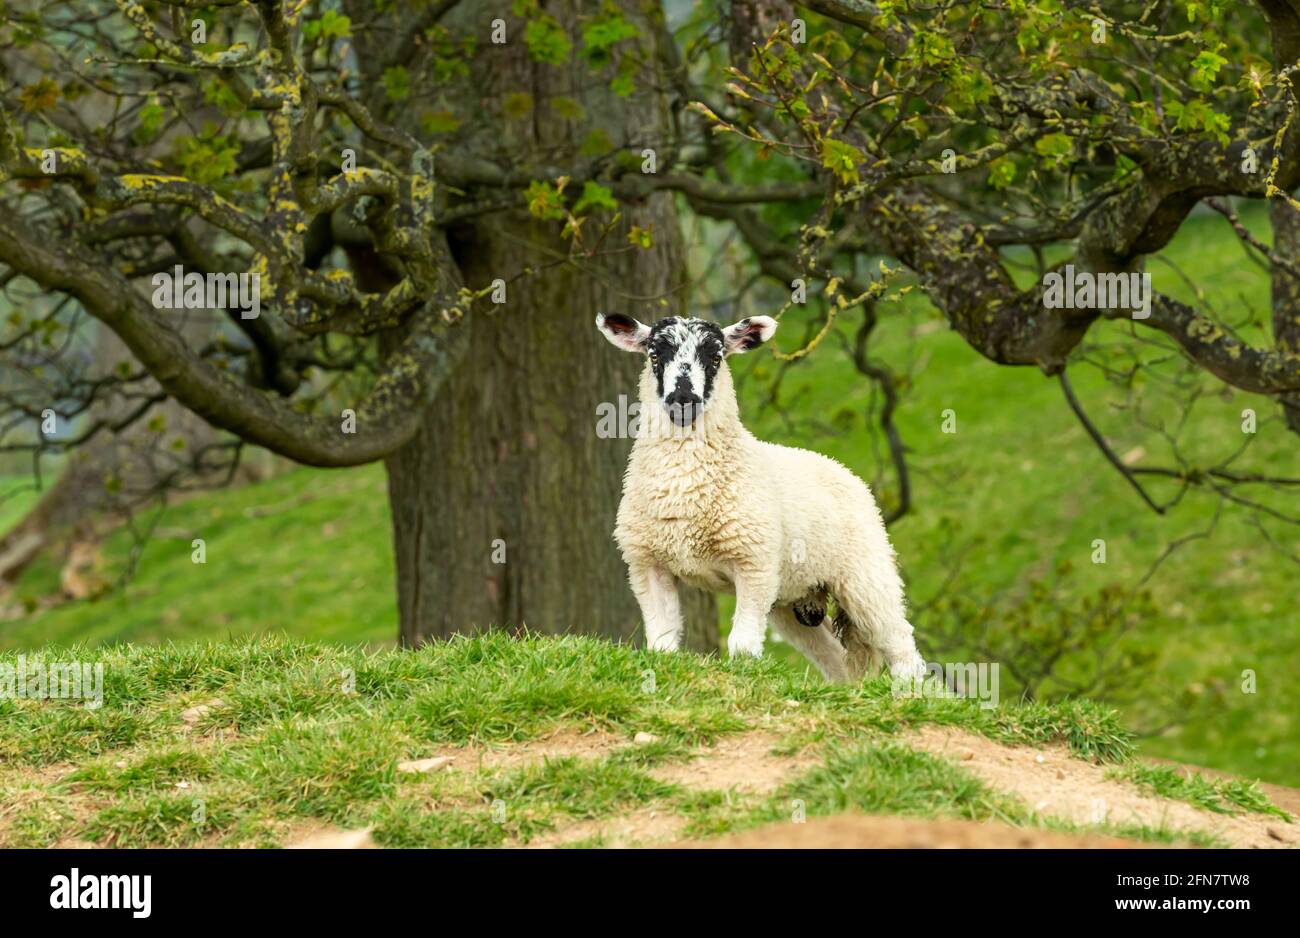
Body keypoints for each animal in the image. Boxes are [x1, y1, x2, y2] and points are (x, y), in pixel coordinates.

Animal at [596, 312, 927, 683]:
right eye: (654, 357)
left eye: (716, 358)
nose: (684, 401)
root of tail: (843, 470)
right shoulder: (647, 564)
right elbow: (662, 642)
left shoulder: (754, 563)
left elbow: (741, 644)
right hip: (792, 598)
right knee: (835, 657)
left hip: (866, 573)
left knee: (900, 643)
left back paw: (908, 689)